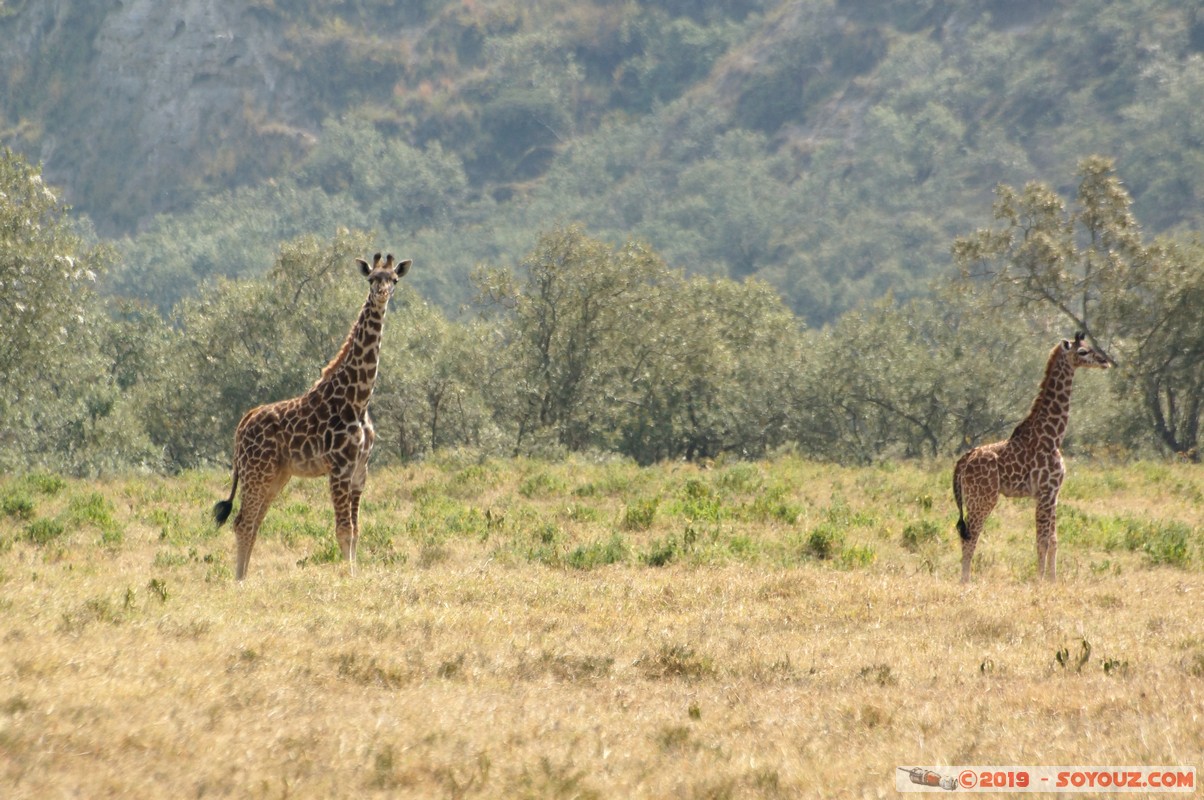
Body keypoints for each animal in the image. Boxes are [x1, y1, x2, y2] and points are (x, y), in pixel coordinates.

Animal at [213, 253, 411, 580]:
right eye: (372, 279)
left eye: (394, 279)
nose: (381, 294)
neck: (359, 400)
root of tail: (242, 424)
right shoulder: (339, 468)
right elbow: (343, 530)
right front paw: (348, 578)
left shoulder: (360, 470)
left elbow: (356, 530)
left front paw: (355, 575)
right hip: (257, 471)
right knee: (243, 522)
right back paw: (239, 582)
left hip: (276, 475)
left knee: (252, 523)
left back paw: (244, 578)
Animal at [952, 333, 1110, 583]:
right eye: (1083, 351)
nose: (1105, 361)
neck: (1054, 436)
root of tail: (962, 461)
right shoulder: (1045, 492)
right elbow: (1041, 541)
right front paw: (1039, 580)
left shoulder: (1053, 494)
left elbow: (1053, 540)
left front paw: (1053, 580)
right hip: (983, 498)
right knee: (971, 534)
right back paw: (966, 581)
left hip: (973, 497)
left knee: (965, 533)